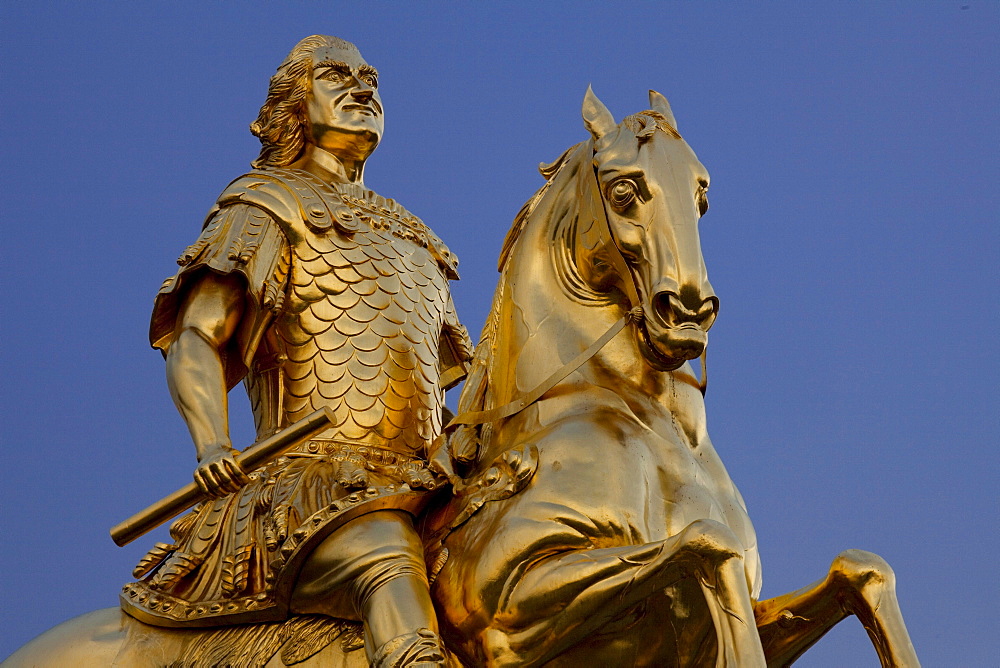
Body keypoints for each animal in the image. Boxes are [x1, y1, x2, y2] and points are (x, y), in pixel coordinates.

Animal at [3, 90, 916, 668]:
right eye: (625, 189)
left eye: (701, 190)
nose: (687, 308)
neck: (634, 425)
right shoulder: (509, 615)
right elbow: (705, 549)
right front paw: (216, 465)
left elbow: (862, 571)